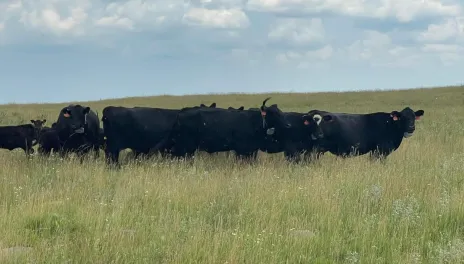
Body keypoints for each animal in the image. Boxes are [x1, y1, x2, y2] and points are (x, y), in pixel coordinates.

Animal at [155, 97, 294, 159]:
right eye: (273, 113)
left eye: (280, 112)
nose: (288, 125)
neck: (254, 121)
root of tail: (181, 113)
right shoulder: (243, 150)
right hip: (186, 146)